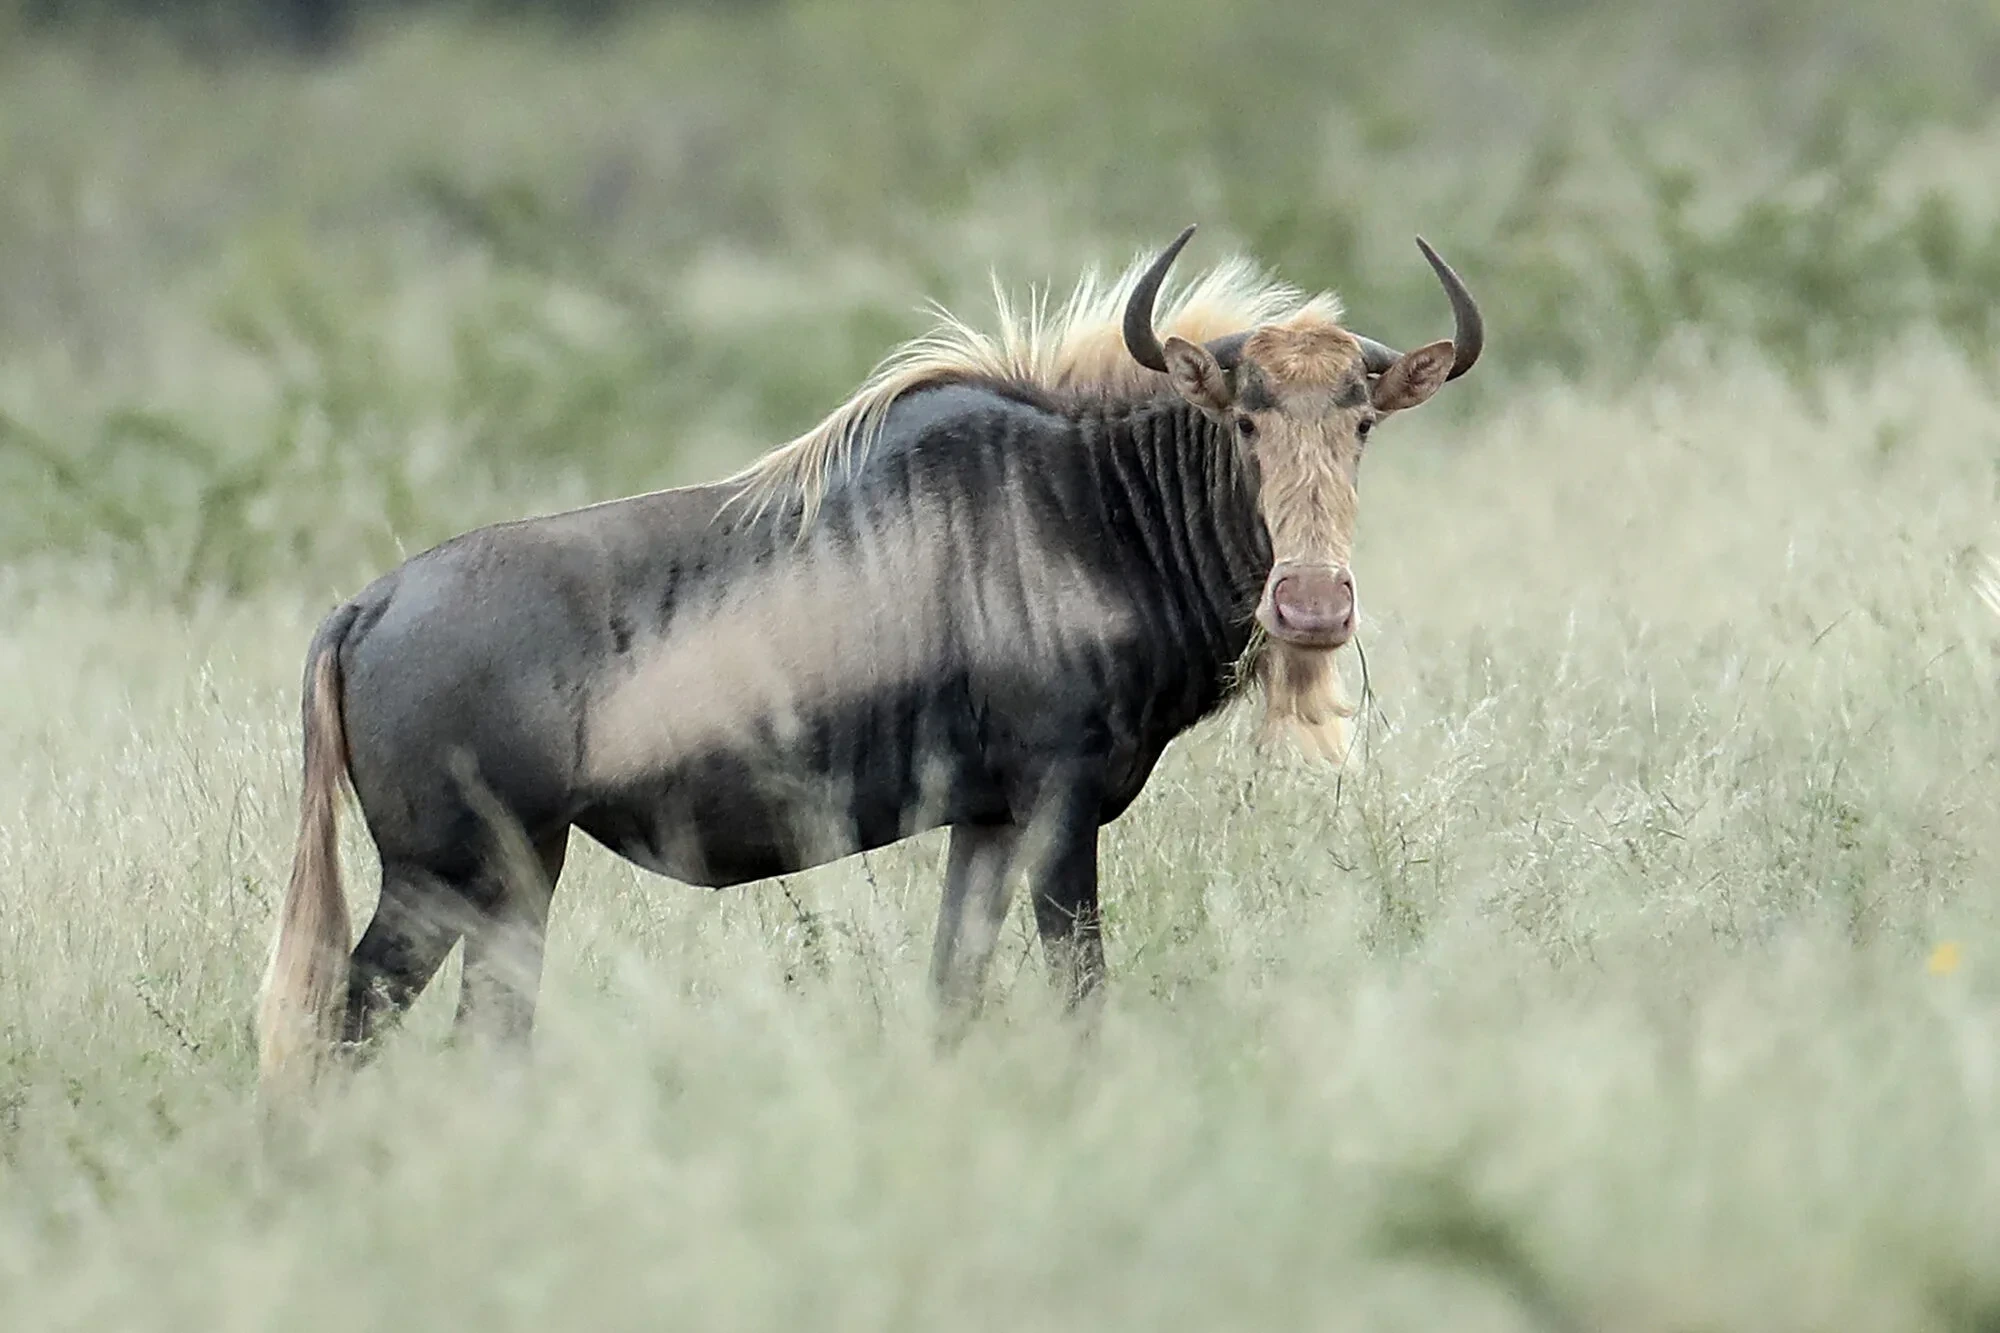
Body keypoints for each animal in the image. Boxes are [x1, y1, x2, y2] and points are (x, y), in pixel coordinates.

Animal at [256, 224, 1482, 1095]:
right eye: (1242, 419)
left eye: (1361, 421)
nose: (1312, 606)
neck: (1090, 508)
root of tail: (364, 608)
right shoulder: (1061, 809)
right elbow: (1079, 993)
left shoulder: (988, 824)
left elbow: (953, 996)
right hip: (447, 880)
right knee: (337, 1030)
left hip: (512, 884)